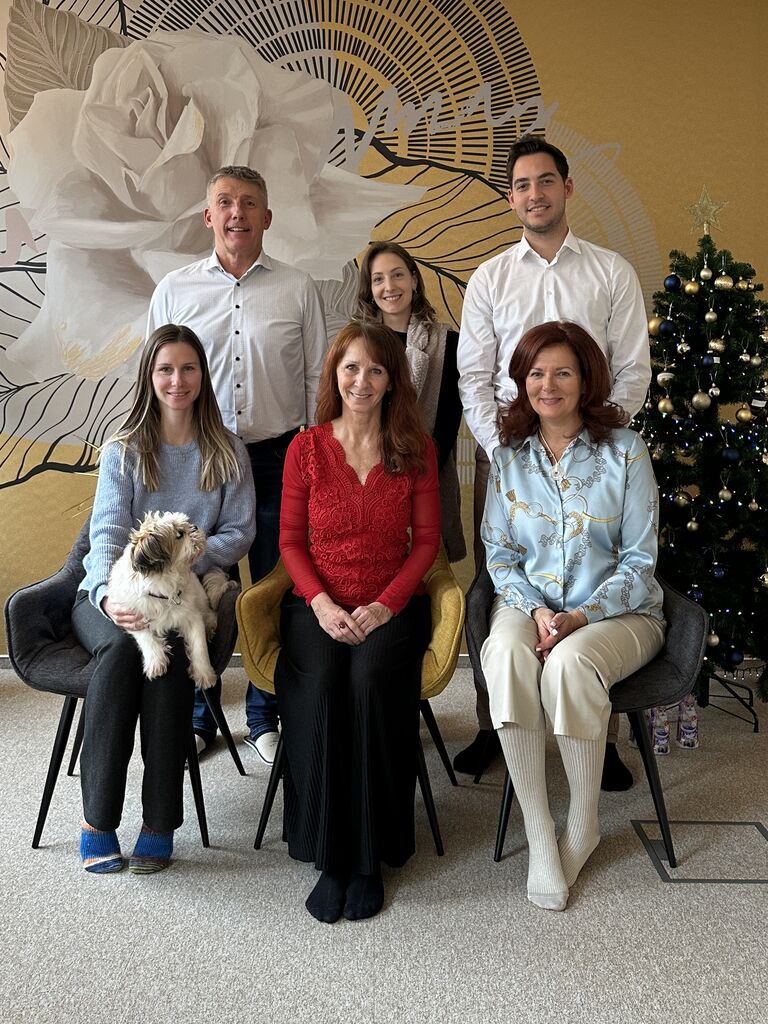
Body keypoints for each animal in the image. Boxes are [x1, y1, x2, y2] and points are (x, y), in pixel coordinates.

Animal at [107, 511, 236, 688]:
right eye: (180, 534)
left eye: (187, 525)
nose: (195, 527)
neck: (162, 589)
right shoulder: (132, 615)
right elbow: (146, 638)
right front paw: (156, 660)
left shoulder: (192, 616)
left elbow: (199, 646)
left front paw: (204, 672)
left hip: (199, 595)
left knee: (210, 614)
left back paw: (209, 626)